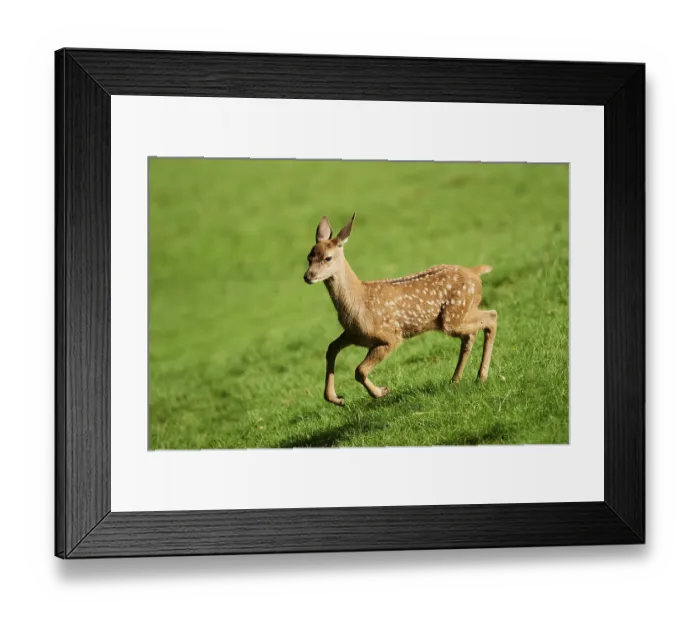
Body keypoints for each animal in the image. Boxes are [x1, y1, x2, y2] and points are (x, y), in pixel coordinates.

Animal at [304, 213, 498, 406]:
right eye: (309, 257)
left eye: (328, 258)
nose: (308, 276)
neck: (360, 302)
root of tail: (475, 272)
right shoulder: (353, 334)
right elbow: (331, 348)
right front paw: (336, 398)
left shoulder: (391, 337)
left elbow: (360, 370)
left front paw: (381, 391)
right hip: (460, 315)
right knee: (471, 335)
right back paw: (456, 380)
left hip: (453, 317)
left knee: (491, 317)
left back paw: (481, 377)